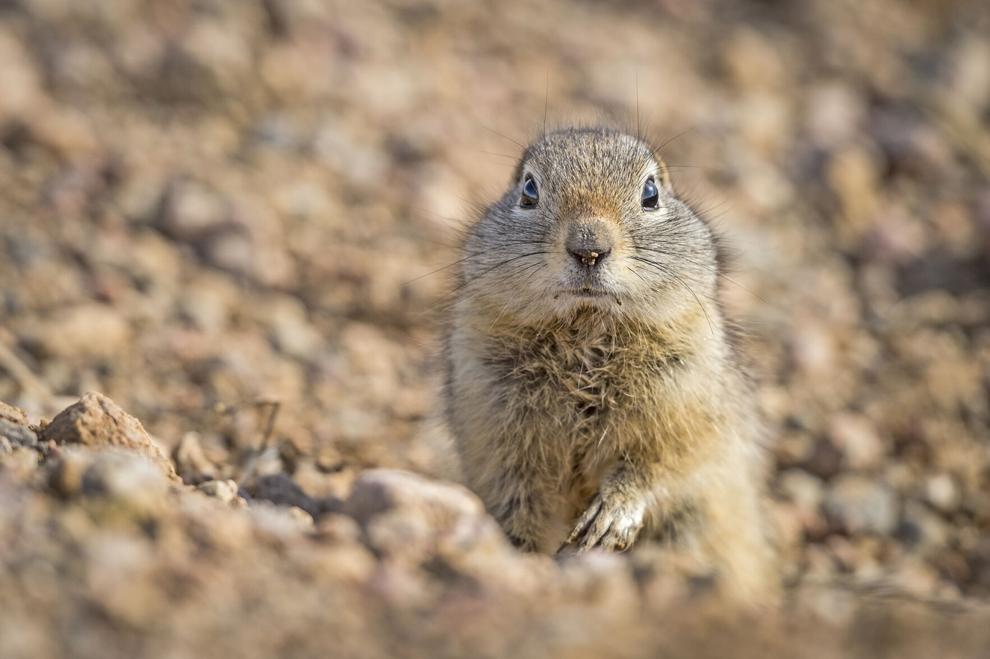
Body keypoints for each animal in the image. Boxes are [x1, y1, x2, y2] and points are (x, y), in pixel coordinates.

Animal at [442, 126, 777, 602]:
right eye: (528, 190)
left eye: (651, 193)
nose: (589, 248)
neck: (587, 329)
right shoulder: (493, 423)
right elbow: (516, 497)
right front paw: (519, 556)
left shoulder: (688, 402)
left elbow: (664, 464)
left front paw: (607, 520)